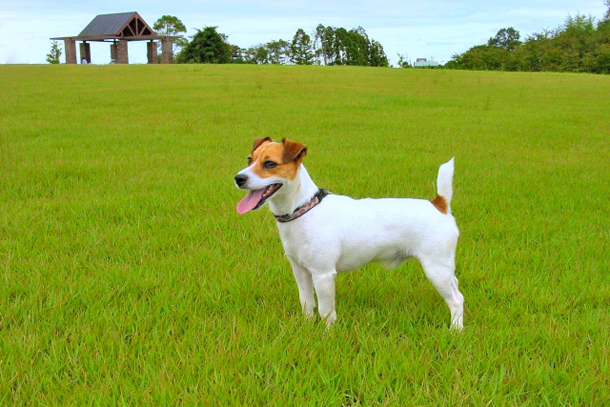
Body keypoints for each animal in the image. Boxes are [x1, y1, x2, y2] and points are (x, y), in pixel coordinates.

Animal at [233, 139, 460, 330]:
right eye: (249, 159)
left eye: (270, 164)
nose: (238, 178)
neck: (304, 207)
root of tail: (439, 205)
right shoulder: (301, 271)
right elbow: (307, 302)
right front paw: (307, 327)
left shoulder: (323, 274)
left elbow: (326, 311)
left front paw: (327, 335)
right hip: (443, 269)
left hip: (436, 269)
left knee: (456, 301)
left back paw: (455, 331)